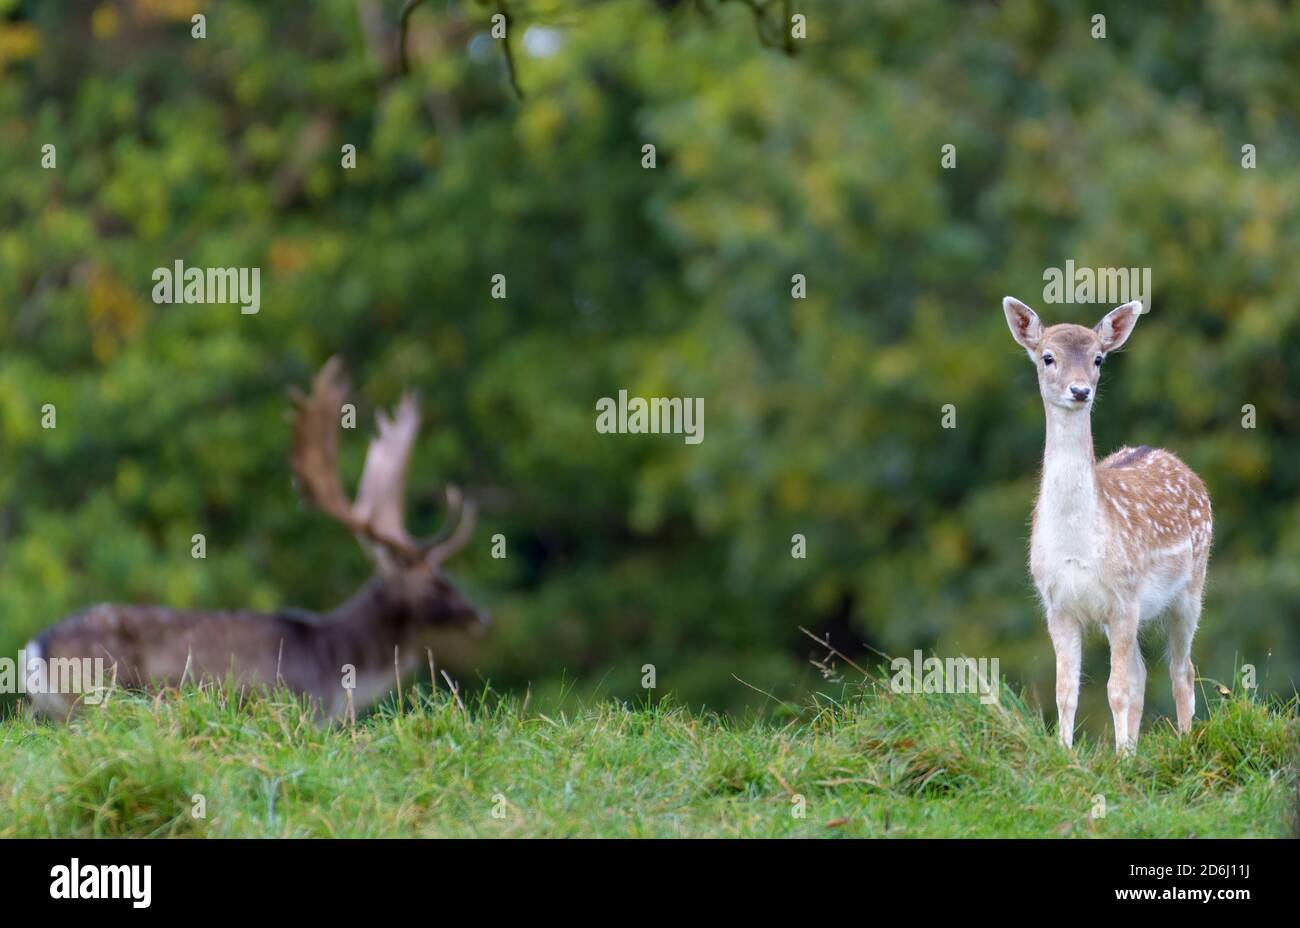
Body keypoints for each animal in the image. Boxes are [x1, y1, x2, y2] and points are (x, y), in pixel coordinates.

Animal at [23, 357, 487, 722]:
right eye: (436, 581)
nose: (479, 616)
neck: (337, 665)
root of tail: (34, 651)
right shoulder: (303, 705)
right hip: (103, 694)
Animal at [1002, 297, 1212, 754]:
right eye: (1048, 357)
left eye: (1098, 358)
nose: (1080, 390)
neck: (1077, 545)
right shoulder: (1057, 604)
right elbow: (1066, 690)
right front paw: (1067, 753)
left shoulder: (1124, 596)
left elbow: (1116, 689)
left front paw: (1120, 757)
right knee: (1142, 671)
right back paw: (1133, 747)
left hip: (1192, 585)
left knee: (1181, 670)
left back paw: (1183, 742)